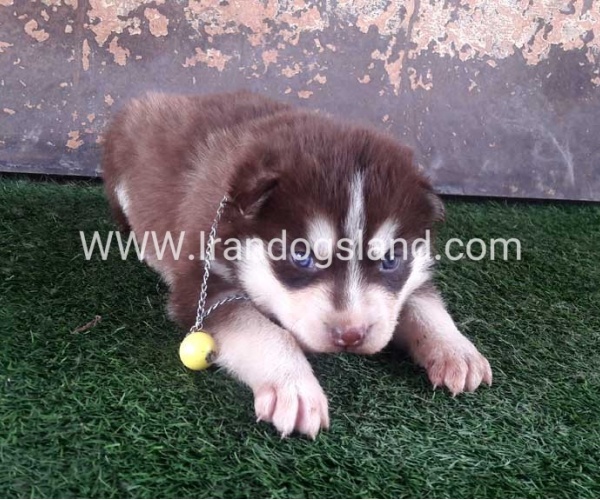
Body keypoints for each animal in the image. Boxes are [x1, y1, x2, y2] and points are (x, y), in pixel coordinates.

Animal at [102, 91, 492, 438]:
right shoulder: (201, 286)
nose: (351, 335)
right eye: (302, 257)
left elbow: (422, 301)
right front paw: (294, 385)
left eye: (391, 260)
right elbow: (264, 330)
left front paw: (455, 349)